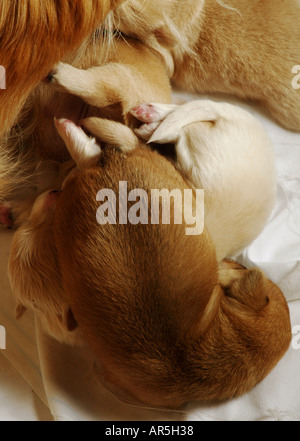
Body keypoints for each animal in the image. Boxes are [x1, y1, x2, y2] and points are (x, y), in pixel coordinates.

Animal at [8, 117, 290, 410]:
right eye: (244, 268)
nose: (239, 265)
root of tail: (108, 166)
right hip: (172, 178)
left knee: (92, 147)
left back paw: (67, 127)